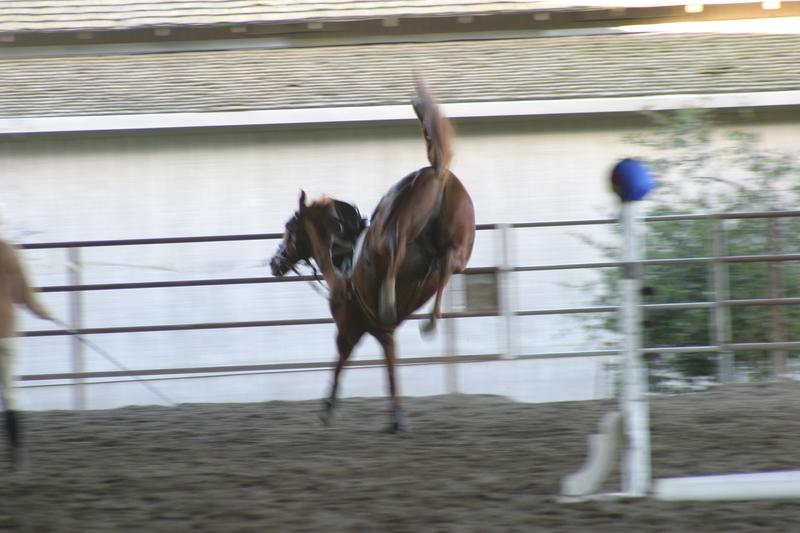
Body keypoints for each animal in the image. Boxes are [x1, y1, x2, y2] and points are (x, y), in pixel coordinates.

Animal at [269, 79, 475, 431]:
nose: (275, 261)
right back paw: (430, 317)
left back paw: (393, 302)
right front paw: (396, 416)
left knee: (395, 252)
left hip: (392, 231)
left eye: (288, 226)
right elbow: (390, 365)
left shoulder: (351, 329)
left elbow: (343, 360)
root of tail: (437, 171)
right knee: (448, 264)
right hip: (460, 247)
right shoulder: (383, 334)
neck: (340, 264)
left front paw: (329, 407)